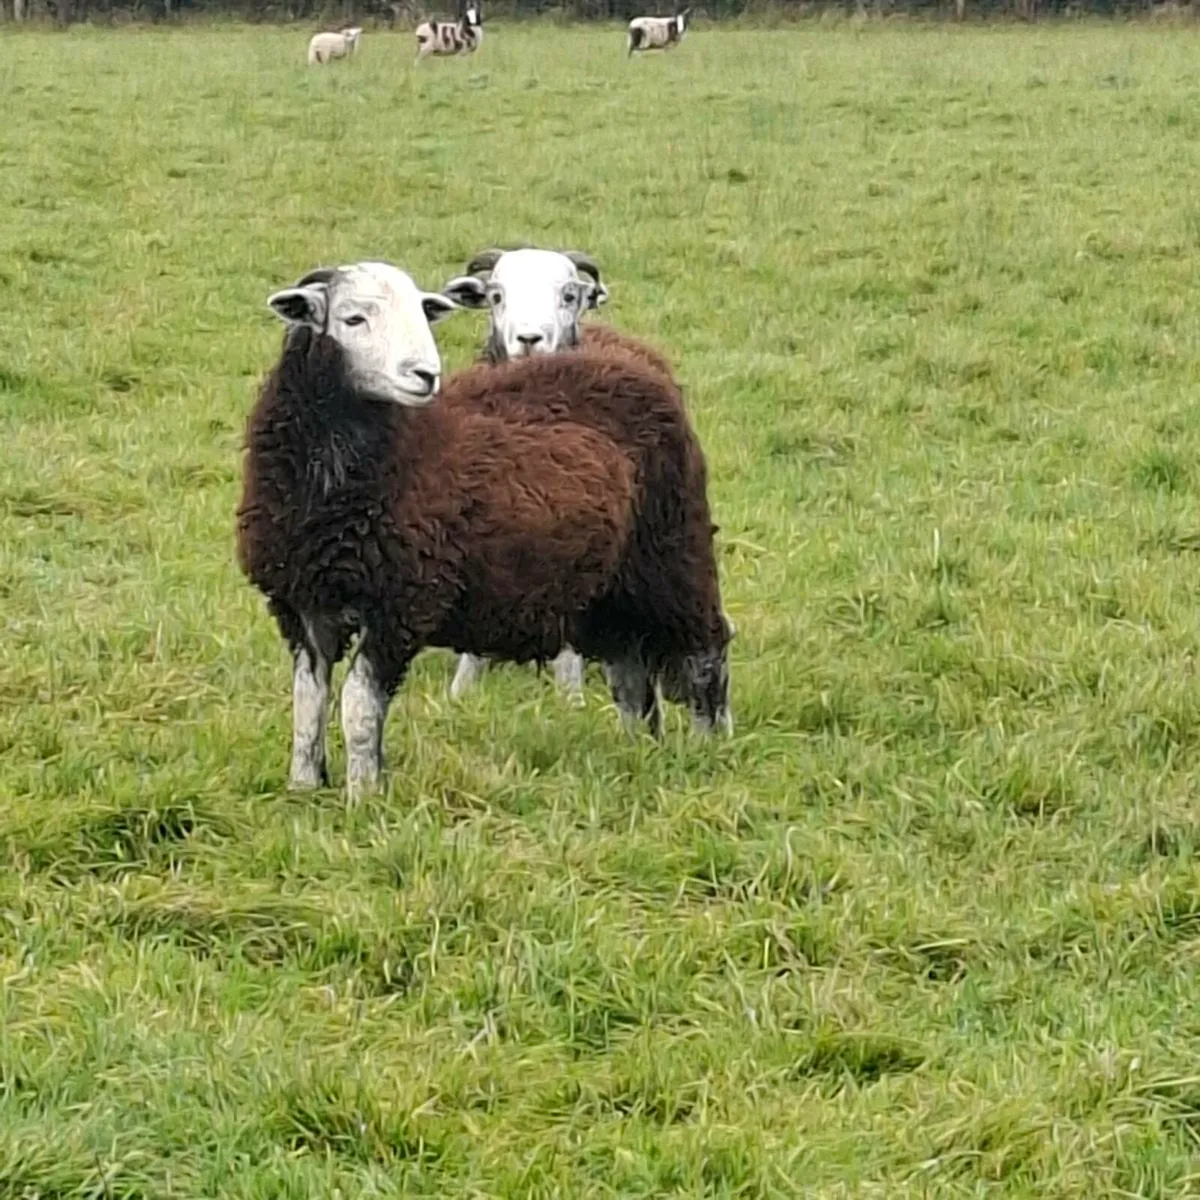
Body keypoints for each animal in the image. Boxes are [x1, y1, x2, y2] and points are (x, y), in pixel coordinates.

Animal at [237, 261, 732, 797]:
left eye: (423, 314)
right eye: (353, 319)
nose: (426, 375)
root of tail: (636, 369)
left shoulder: (402, 603)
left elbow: (358, 708)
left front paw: (362, 797)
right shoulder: (302, 603)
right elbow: (307, 703)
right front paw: (303, 789)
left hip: (672, 550)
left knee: (707, 651)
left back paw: (709, 748)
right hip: (610, 589)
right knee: (631, 671)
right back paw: (635, 753)